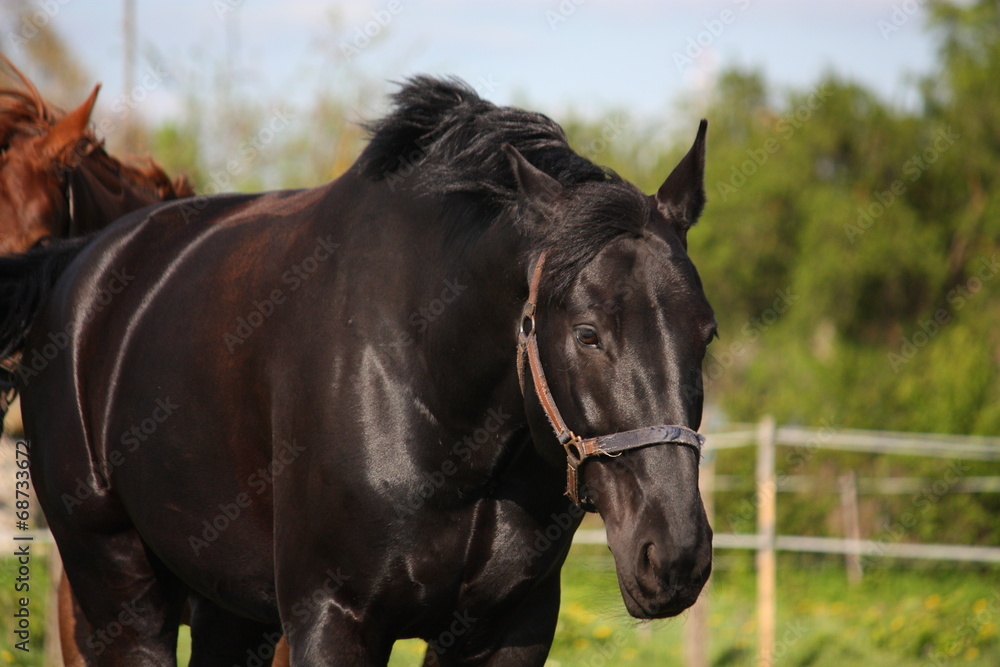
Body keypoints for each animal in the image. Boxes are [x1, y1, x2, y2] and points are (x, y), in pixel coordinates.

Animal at [1, 76, 716, 665]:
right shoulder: (331, 620)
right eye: (588, 334)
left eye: (706, 334)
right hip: (116, 588)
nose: (674, 554)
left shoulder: (510, 628)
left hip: (227, 602)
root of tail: (76, 267)